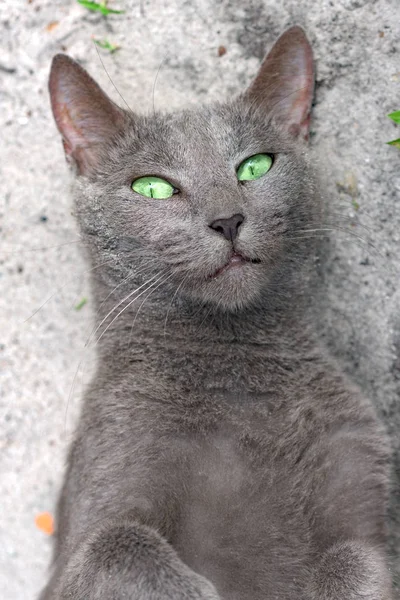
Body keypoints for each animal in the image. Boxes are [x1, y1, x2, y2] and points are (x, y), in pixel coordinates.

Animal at [40, 27, 394, 600]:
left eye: (255, 166)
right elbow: (116, 543)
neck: (238, 373)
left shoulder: (357, 464)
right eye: (153, 187)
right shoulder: (99, 494)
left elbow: (357, 556)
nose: (228, 220)